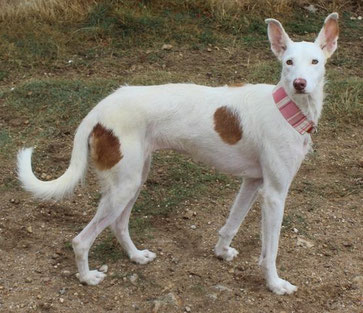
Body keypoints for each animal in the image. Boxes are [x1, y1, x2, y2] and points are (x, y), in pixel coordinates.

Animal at [17, 13, 340, 294]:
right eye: (288, 62)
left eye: (315, 61)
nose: (300, 84)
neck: (287, 108)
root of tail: (99, 109)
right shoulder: (274, 193)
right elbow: (270, 249)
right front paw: (274, 284)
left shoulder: (252, 182)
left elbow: (231, 223)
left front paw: (221, 251)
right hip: (124, 186)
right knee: (81, 240)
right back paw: (86, 277)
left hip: (135, 179)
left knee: (119, 225)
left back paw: (136, 256)